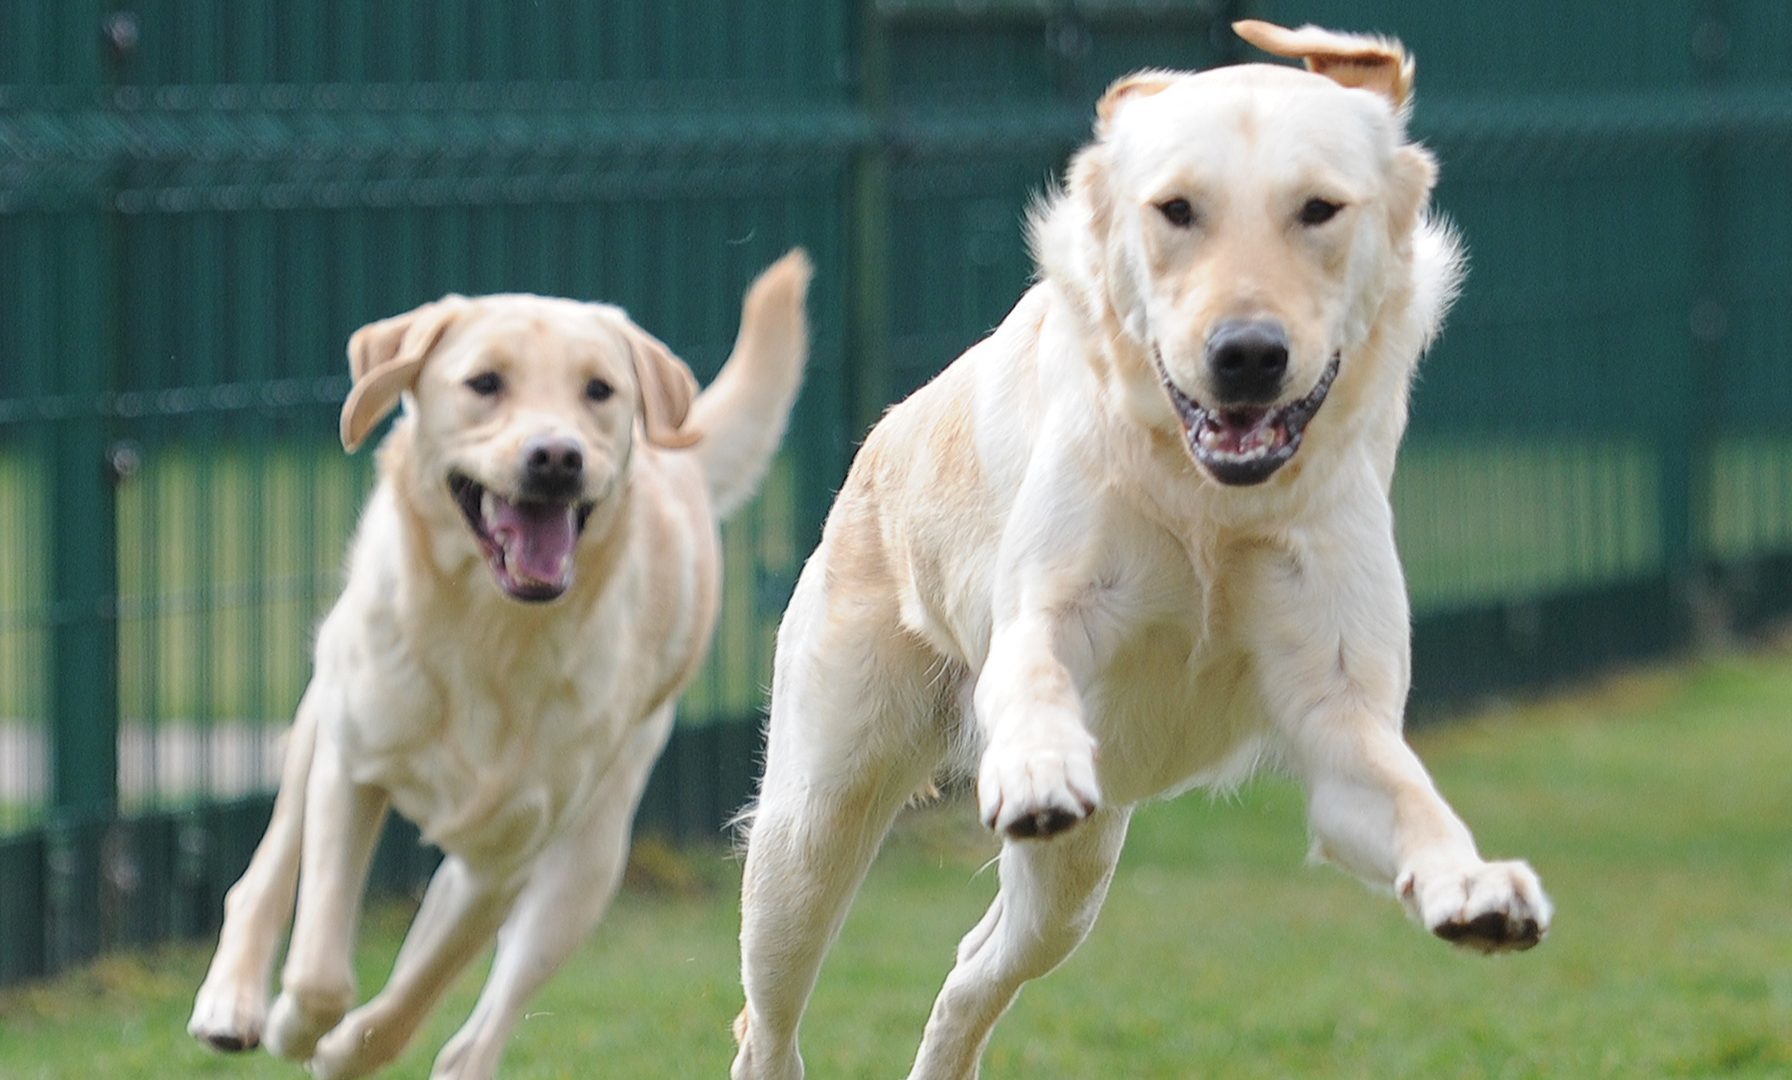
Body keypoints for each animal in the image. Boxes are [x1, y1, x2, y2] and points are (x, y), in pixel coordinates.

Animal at [189, 248, 813, 1074]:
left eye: (599, 390)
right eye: (485, 383)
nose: (555, 457)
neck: (488, 634)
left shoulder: (502, 859)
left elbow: (406, 1002)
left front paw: (342, 1050)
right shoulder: (350, 773)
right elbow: (321, 970)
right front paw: (296, 1024)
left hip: (585, 863)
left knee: (471, 1035)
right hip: (324, 719)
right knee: (262, 874)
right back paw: (233, 1002)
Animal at [734, 25, 1548, 1080]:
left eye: (1319, 209)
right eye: (1178, 210)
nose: (1247, 354)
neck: (1212, 504)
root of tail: (879, 441)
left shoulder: (1341, 720)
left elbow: (1415, 801)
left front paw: (1473, 886)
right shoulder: (1043, 619)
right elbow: (1037, 677)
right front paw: (1040, 763)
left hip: (1071, 879)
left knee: (973, 971)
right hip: (813, 826)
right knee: (769, 1021)